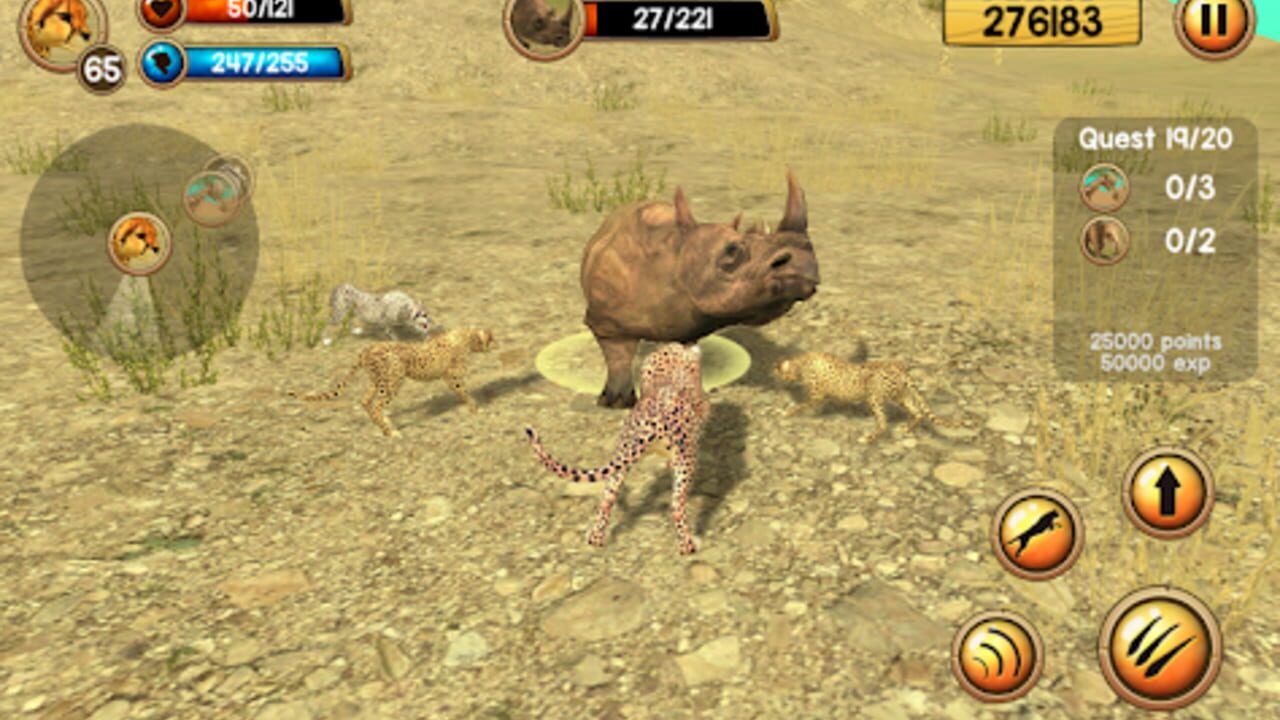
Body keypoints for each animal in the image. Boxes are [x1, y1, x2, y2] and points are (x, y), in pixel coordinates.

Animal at [290, 328, 495, 437]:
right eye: (491, 338)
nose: (495, 344)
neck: (463, 336)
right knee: (377, 406)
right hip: (393, 381)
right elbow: (465, 393)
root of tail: (366, 349)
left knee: (365, 402)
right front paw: (476, 409)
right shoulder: (453, 378)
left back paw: (385, 427)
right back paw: (391, 433)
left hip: (377, 381)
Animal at [525, 343, 710, 555]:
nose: (689, 345)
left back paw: (595, 538)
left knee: (607, 499)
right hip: (683, 464)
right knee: (676, 507)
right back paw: (689, 546)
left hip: (622, 458)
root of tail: (652, 422)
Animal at [774, 352, 955, 444]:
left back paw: (867, 438)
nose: (779, 380)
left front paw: (787, 413)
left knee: (883, 424)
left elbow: (801, 405)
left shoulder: (817, 395)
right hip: (900, 397)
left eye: (779, 372)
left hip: (874, 398)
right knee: (918, 414)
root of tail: (900, 368)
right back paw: (906, 429)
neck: (802, 362)